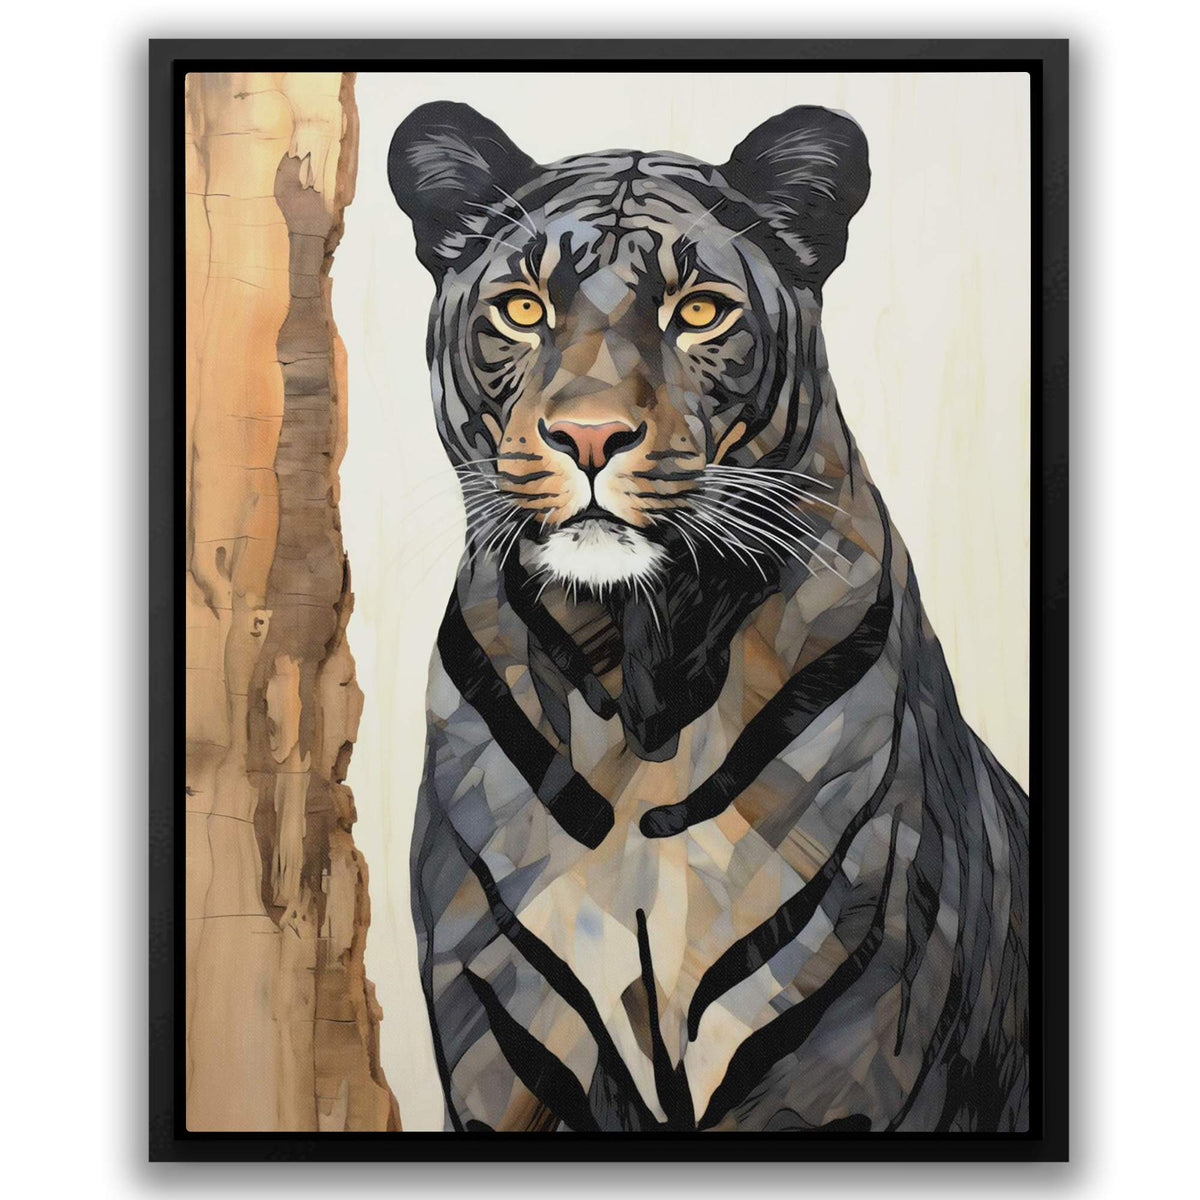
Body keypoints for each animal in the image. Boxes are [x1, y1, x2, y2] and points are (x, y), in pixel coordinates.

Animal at [387, 101, 1029, 1134]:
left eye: (697, 313)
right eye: (522, 309)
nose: (591, 437)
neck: (635, 680)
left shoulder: (839, 1038)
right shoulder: (506, 1039)